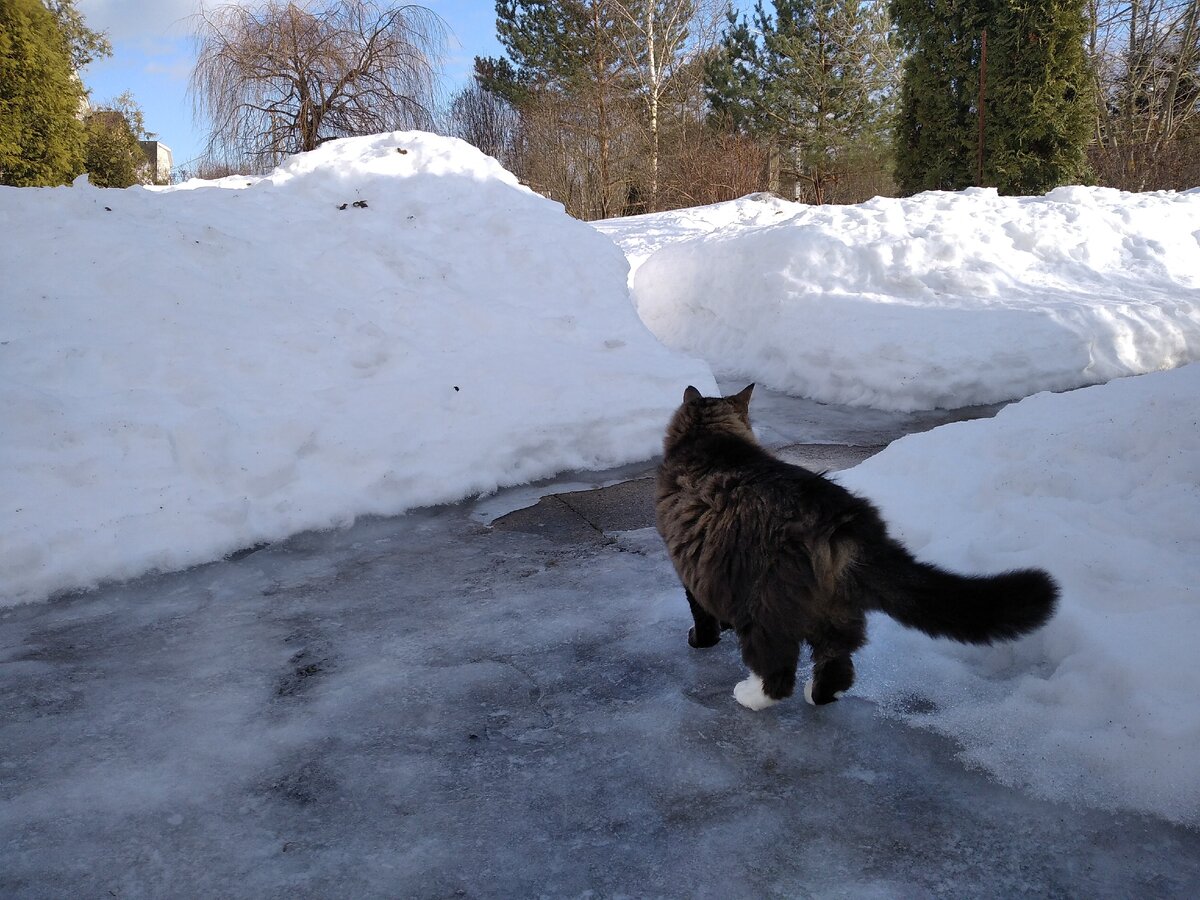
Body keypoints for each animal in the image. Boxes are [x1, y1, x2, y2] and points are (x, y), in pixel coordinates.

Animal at [657, 386, 1060, 710]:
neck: (710, 440)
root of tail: (842, 519)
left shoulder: (690, 568)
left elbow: (702, 613)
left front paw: (702, 640)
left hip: (766, 608)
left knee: (779, 670)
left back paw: (751, 696)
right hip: (835, 611)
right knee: (838, 662)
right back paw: (820, 695)